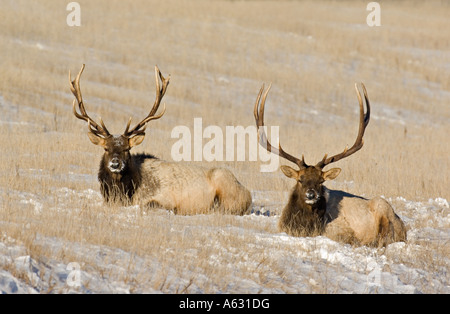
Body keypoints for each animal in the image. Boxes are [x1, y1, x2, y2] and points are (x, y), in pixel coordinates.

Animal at [71, 64, 251, 215]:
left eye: (126, 149)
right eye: (106, 148)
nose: (115, 164)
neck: (124, 191)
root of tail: (248, 194)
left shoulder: (163, 199)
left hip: (224, 182)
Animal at [253, 82, 408, 247]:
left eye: (321, 181)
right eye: (300, 179)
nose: (311, 194)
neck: (304, 226)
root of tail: (404, 227)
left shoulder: (341, 230)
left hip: (383, 207)